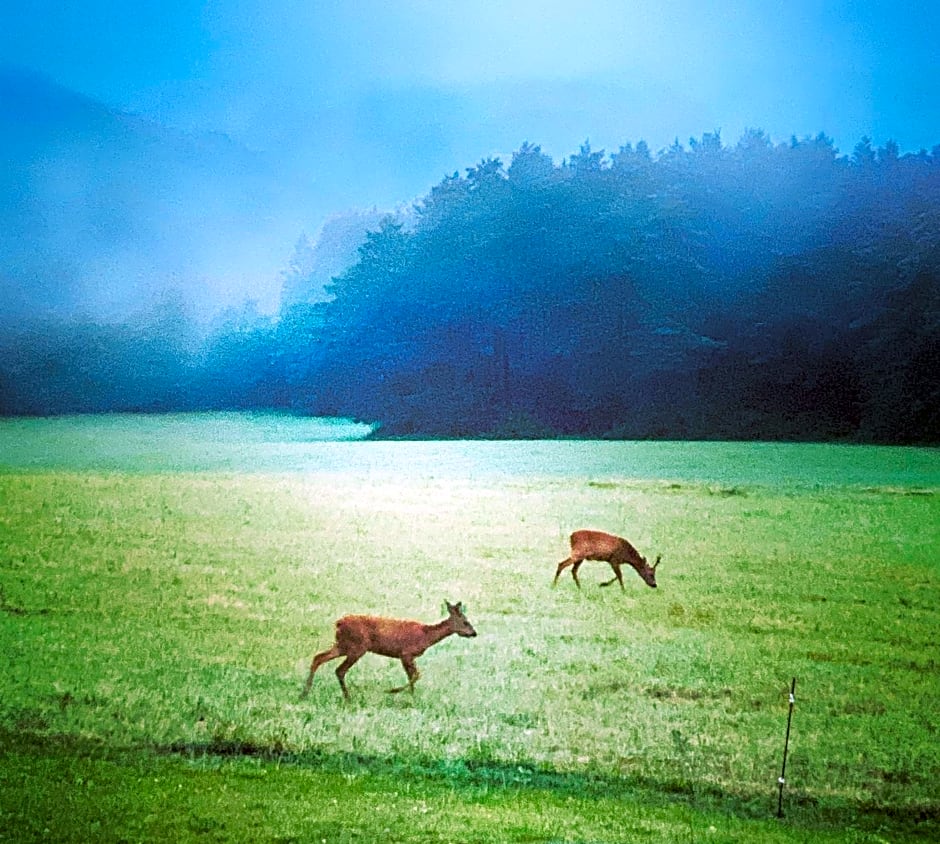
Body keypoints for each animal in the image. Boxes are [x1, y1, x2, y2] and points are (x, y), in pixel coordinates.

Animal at [302, 604, 478, 704]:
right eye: (465, 622)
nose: (474, 633)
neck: (426, 636)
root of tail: (338, 623)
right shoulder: (406, 653)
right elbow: (416, 675)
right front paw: (393, 691)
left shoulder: (407, 656)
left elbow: (412, 676)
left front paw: (412, 697)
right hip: (357, 647)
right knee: (339, 670)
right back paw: (348, 698)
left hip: (343, 645)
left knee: (318, 657)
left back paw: (305, 693)